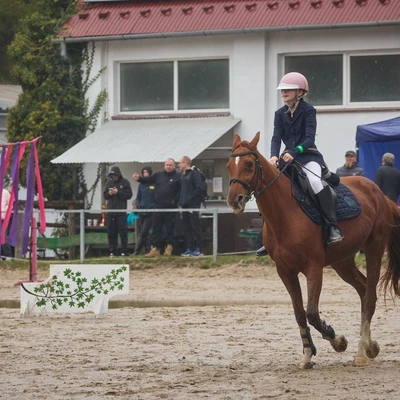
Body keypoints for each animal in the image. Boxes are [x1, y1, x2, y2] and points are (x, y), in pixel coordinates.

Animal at [227, 133, 400, 370]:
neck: (284, 212)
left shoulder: (313, 268)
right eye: (229, 166)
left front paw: (338, 341)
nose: (234, 200)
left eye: (249, 164)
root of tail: (380, 193)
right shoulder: (285, 271)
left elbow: (312, 313)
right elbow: (300, 313)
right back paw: (370, 346)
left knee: (370, 296)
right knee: (364, 289)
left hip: (374, 248)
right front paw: (307, 355)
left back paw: (361, 352)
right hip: (342, 261)